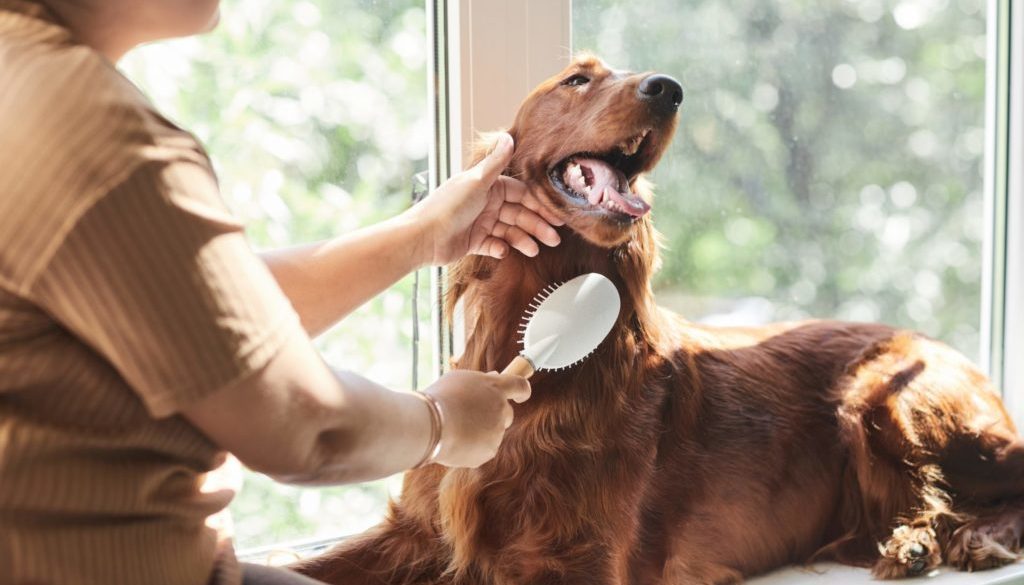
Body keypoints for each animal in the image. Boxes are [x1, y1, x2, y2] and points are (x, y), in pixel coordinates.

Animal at [294, 54, 1024, 585]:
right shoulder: (418, 533)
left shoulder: (581, 562)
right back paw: (917, 541)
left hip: (891, 404)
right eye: (578, 78)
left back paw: (971, 539)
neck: (540, 352)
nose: (669, 88)